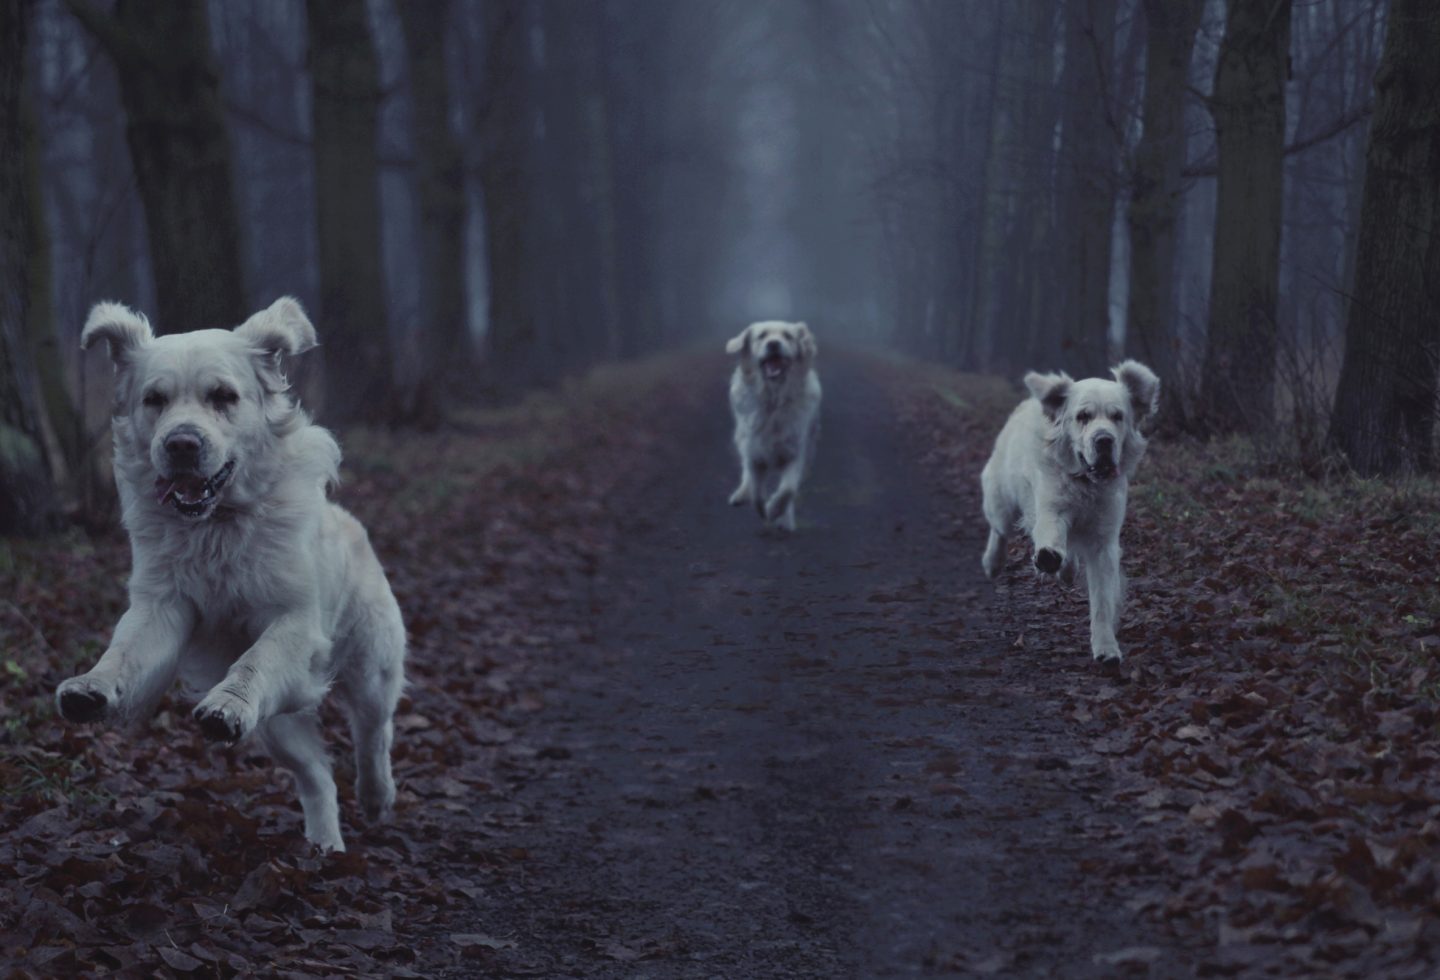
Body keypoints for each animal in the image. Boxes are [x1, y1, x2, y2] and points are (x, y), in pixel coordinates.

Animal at [56, 296, 406, 846]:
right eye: (154, 399)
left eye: (223, 396)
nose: (181, 444)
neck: (216, 525)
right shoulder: (163, 607)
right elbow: (126, 652)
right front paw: (92, 687)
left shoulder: (296, 621)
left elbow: (255, 660)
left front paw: (227, 706)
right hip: (279, 728)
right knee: (317, 776)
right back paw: (325, 845)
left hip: (372, 663)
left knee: (374, 730)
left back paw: (376, 796)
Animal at [720, 320, 823, 532]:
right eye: (762, 336)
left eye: (788, 336)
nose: (774, 344)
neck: (773, 400)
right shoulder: (754, 452)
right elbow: (756, 492)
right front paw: (763, 509)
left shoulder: (795, 452)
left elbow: (788, 490)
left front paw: (776, 512)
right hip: (741, 438)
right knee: (746, 474)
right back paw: (741, 494)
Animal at [984, 361, 1163, 664]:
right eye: (1083, 416)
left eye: (1117, 416)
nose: (1103, 440)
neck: (1086, 484)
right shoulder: (1051, 509)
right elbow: (1051, 537)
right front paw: (1047, 557)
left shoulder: (1104, 540)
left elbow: (1102, 600)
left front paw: (1106, 648)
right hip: (1002, 500)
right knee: (1000, 530)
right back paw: (993, 562)